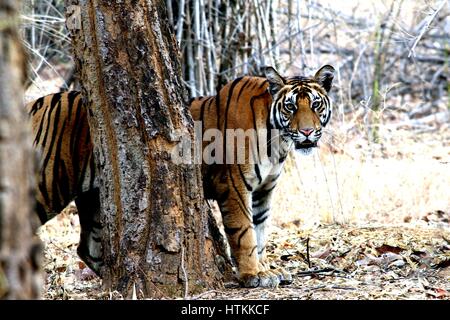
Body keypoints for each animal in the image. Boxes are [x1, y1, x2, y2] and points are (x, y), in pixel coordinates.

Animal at [189, 65, 334, 288]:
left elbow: (260, 229)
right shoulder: (233, 185)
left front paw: (266, 269)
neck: (277, 141)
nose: (307, 131)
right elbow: (244, 231)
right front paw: (252, 274)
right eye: (290, 107)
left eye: (315, 104)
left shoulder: (264, 189)